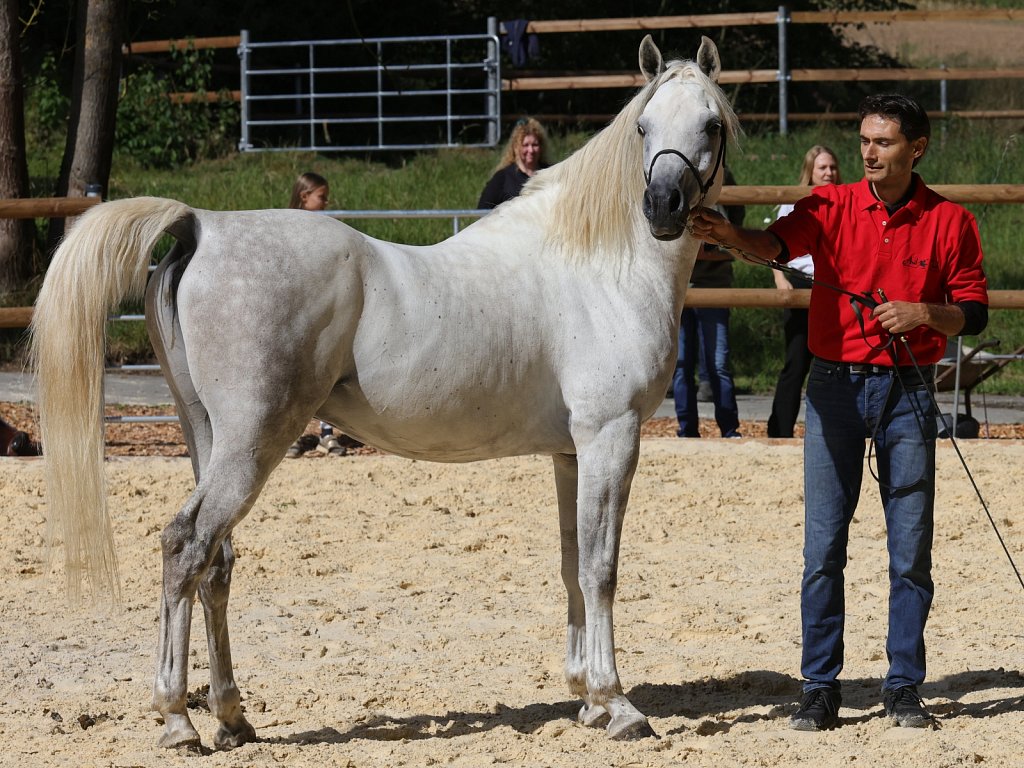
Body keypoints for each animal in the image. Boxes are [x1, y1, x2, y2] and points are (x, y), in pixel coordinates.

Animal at [30, 35, 738, 749]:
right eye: (644, 126)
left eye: (711, 124)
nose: (663, 206)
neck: (596, 267)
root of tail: (201, 225)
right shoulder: (611, 439)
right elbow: (601, 569)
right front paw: (616, 703)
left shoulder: (572, 453)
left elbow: (571, 563)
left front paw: (585, 699)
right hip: (254, 441)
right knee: (186, 546)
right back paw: (177, 718)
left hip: (206, 435)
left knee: (216, 562)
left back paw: (231, 715)